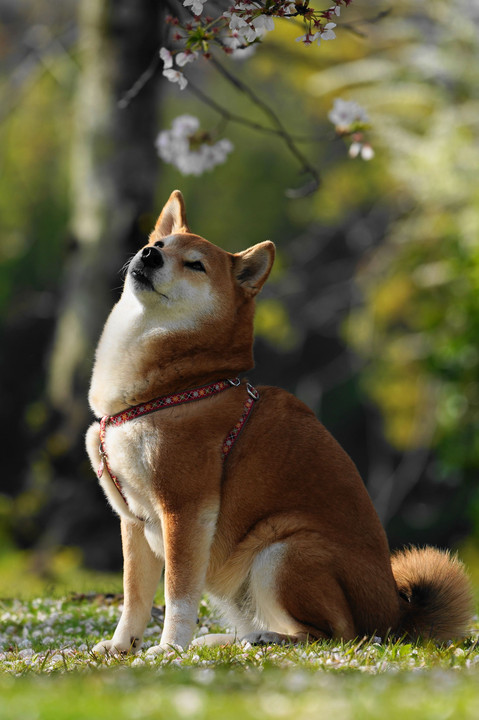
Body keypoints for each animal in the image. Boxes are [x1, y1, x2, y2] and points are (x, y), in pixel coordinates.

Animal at [85, 188, 472, 656]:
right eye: (160, 245)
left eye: (195, 264)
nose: (148, 254)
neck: (178, 387)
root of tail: (395, 614)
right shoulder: (133, 519)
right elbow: (134, 595)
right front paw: (121, 645)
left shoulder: (185, 509)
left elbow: (178, 593)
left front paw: (171, 648)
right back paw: (231, 638)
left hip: (283, 548)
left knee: (336, 633)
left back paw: (266, 638)